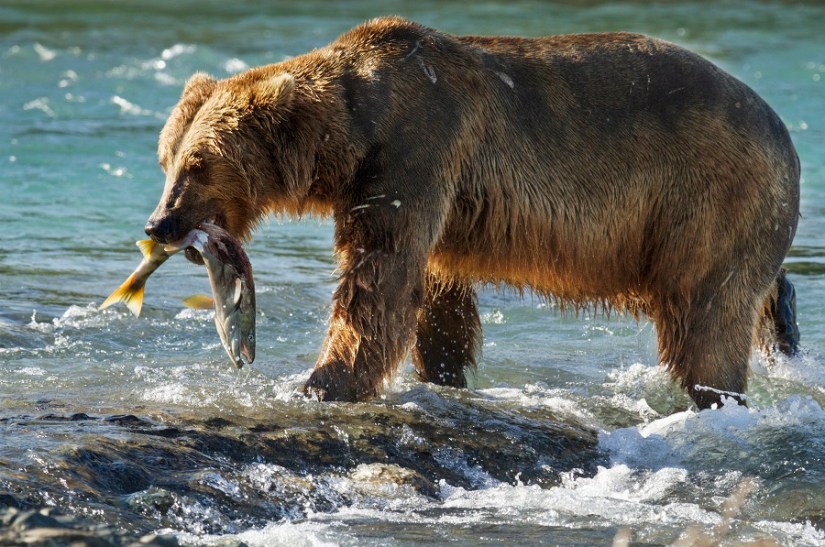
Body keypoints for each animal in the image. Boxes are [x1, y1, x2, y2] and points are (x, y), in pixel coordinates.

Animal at [144, 16, 800, 410]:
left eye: (199, 163)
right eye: (166, 158)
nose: (158, 224)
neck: (355, 132)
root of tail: (782, 129)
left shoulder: (417, 148)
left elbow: (378, 276)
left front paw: (321, 382)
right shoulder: (444, 201)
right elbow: (438, 297)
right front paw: (443, 373)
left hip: (707, 195)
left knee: (706, 312)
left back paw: (716, 394)